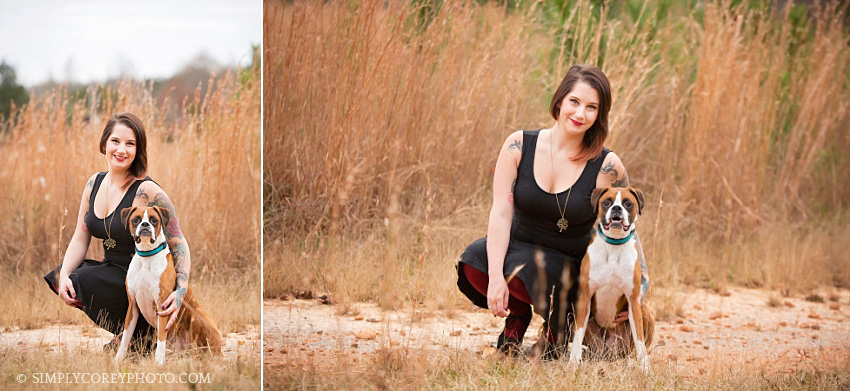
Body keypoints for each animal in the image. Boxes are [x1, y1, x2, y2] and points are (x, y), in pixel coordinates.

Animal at [112, 207, 222, 366]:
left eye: (154, 220)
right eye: (136, 220)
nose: (145, 224)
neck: (147, 257)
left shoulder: (162, 306)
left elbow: (161, 338)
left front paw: (158, 363)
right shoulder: (132, 306)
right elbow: (126, 336)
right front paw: (118, 359)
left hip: (197, 317)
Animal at [568, 187, 652, 370]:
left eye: (628, 203)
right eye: (607, 202)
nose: (616, 208)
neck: (614, 245)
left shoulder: (633, 301)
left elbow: (640, 340)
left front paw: (645, 367)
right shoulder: (584, 297)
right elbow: (578, 334)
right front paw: (573, 362)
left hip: (643, 310)